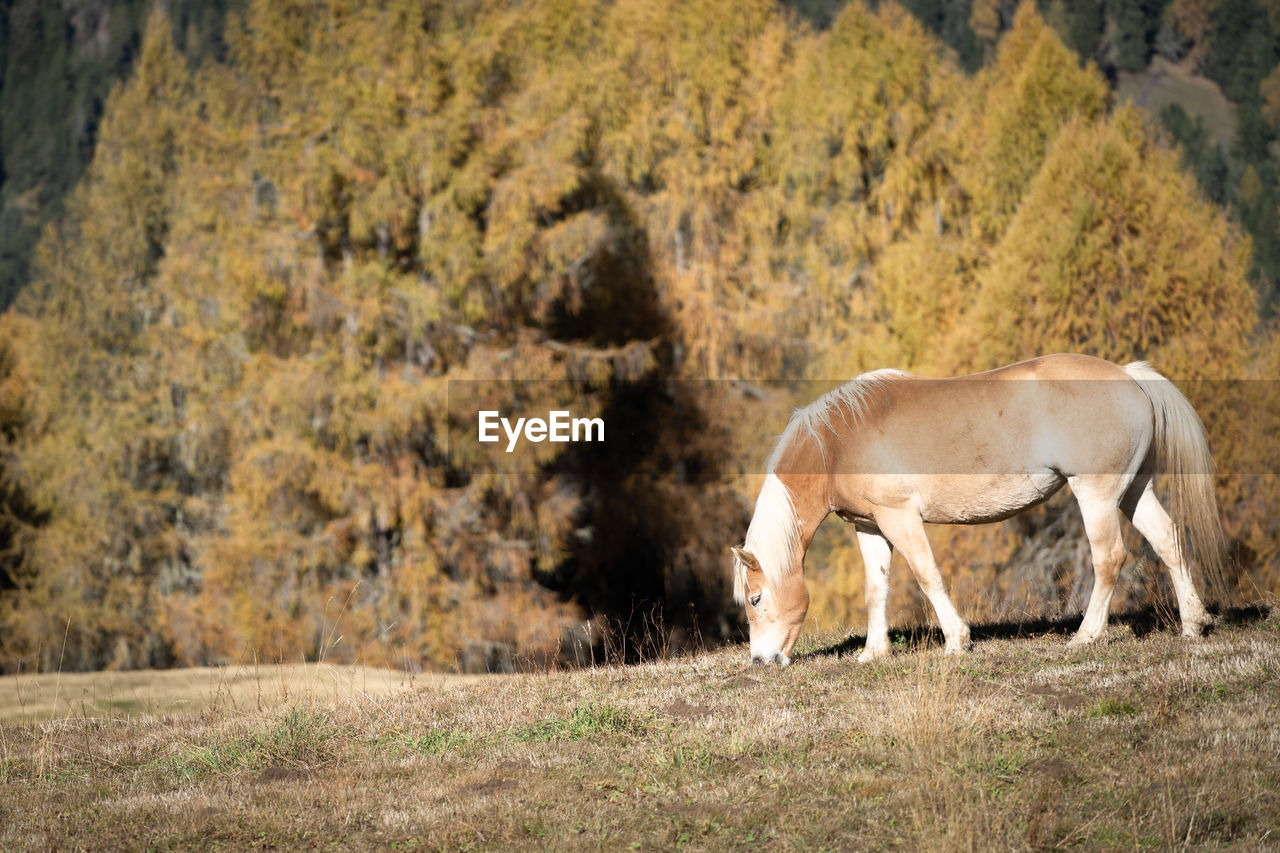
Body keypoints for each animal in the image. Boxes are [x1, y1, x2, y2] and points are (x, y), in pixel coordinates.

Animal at [732, 350, 1218, 666]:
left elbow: (927, 576)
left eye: (756, 598)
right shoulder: (869, 526)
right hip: (1134, 490)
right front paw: (873, 653)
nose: (761, 660)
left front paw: (956, 642)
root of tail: (1129, 375)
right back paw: (1193, 625)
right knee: (1169, 541)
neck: (837, 443)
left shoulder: (899, 518)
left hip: (1095, 496)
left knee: (1110, 558)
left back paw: (1086, 637)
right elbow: (877, 587)